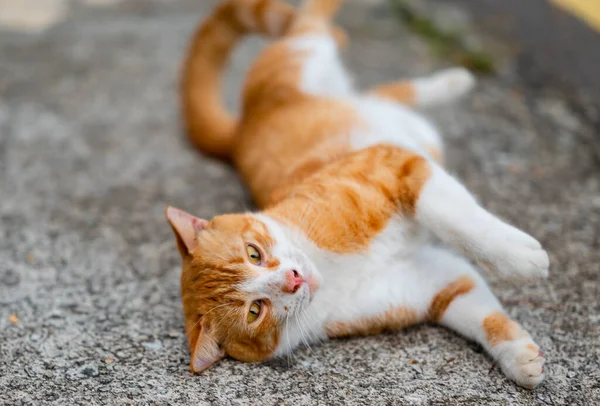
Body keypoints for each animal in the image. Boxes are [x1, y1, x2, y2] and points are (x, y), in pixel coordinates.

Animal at [166, 0, 552, 388]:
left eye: (253, 253)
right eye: (255, 311)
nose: (293, 279)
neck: (327, 268)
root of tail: (239, 131)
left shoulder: (390, 165)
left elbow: (455, 218)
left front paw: (520, 258)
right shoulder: (435, 282)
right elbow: (478, 312)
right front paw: (519, 357)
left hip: (305, 58)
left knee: (313, 27)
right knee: (385, 93)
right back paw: (452, 82)